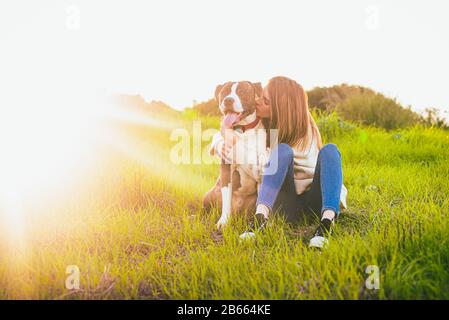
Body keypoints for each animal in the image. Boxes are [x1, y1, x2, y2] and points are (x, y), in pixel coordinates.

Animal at [202, 81, 266, 229]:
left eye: (242, 91)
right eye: (224, 92)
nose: (228, 100)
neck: (242, 130)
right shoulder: (226, 169)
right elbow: (226, 198)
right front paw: (223, 222)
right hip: (210, 195)